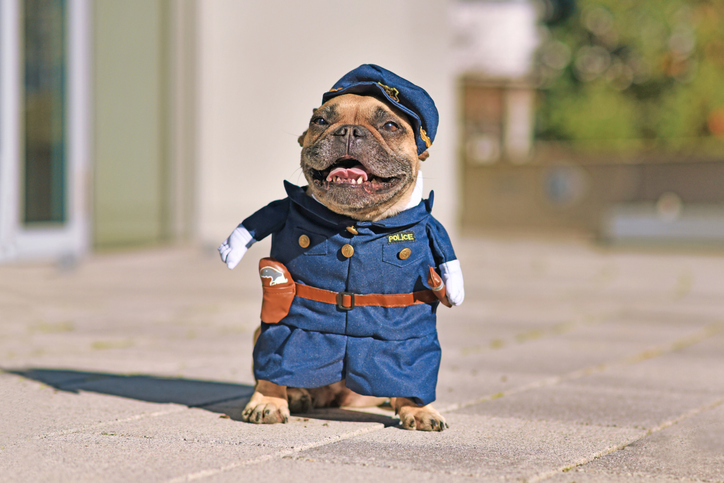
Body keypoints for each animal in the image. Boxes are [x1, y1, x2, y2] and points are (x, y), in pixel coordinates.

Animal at [219, 64, 464, 432]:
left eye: (390, 126)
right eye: (320, 121)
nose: (348, 131)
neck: (356, 224)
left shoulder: (408, 336)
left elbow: (410, 365)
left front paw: (419, 409)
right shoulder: (283, 326)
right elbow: (275, 360)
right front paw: (268, 402)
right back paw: (297, 395)